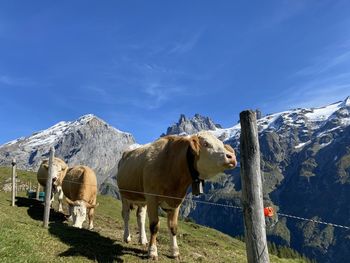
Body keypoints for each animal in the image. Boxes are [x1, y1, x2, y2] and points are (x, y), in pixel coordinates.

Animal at [116, 132, 237, 260]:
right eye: (206, 143)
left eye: (221, 144)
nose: (232, 157)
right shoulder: (152, 197)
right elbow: (154, 226)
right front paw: (152, 251)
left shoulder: (176, 201)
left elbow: (173, 227)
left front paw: (175, 251)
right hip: (124, 194)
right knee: (126, 215)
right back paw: (127, 237)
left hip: (142, 200)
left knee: (140, 217)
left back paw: (143, 239)